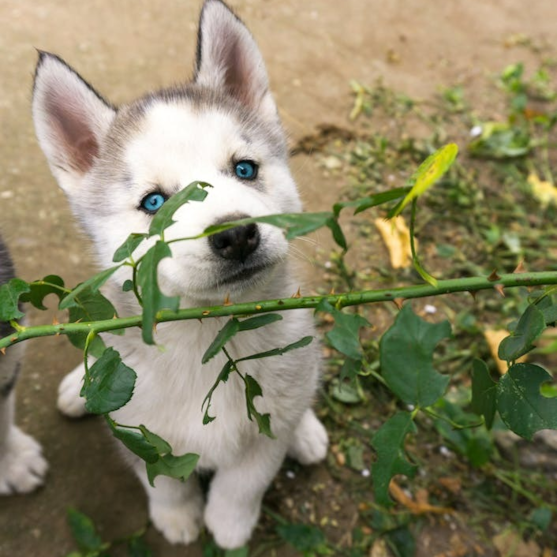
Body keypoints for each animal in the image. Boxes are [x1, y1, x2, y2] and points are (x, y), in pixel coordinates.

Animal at [32, 0, 328, 548]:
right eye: (155, 203)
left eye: (245, 169)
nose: (237, 236)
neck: (208, 337)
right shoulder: (138, 432)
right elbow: (165, 480)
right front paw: (178, 517)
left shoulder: (265, 430)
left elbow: (245, 479)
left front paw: (229, 524)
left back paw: (308, 432)